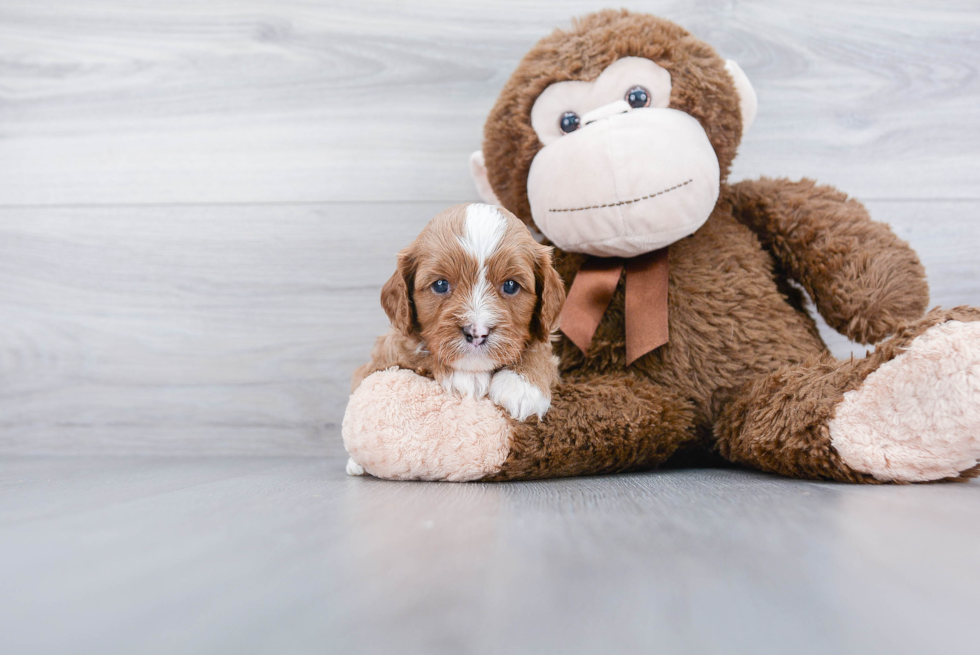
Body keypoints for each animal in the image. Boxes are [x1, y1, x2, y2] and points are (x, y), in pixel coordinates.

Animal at [352, 202, 568, 422]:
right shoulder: (380, 358)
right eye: (440, 285)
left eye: (510, 285)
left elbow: (541, 349)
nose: (477, 333)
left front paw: (523, 385)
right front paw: (463, 374)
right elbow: (415, 349)